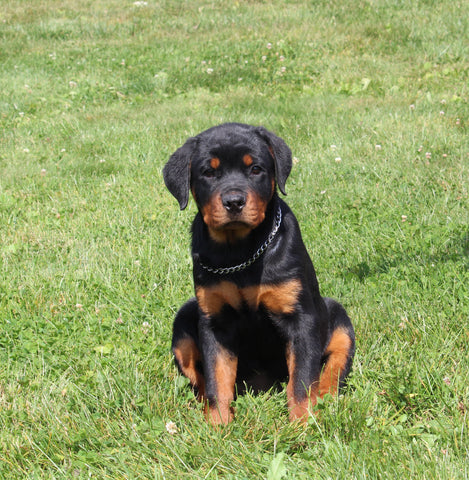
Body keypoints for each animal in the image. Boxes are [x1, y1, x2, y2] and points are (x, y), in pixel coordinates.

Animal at [163, 123, 352, 424]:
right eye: (208, 172)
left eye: (255, 169)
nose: (234, 202)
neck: (240, 252)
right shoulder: (215, 322)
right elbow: (217, 378)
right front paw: (218, 424)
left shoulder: (302, 319)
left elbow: (301, 379)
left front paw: (301, 424)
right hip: (183, 320)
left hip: (339, 318)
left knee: (333, 367)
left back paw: (324, 399)